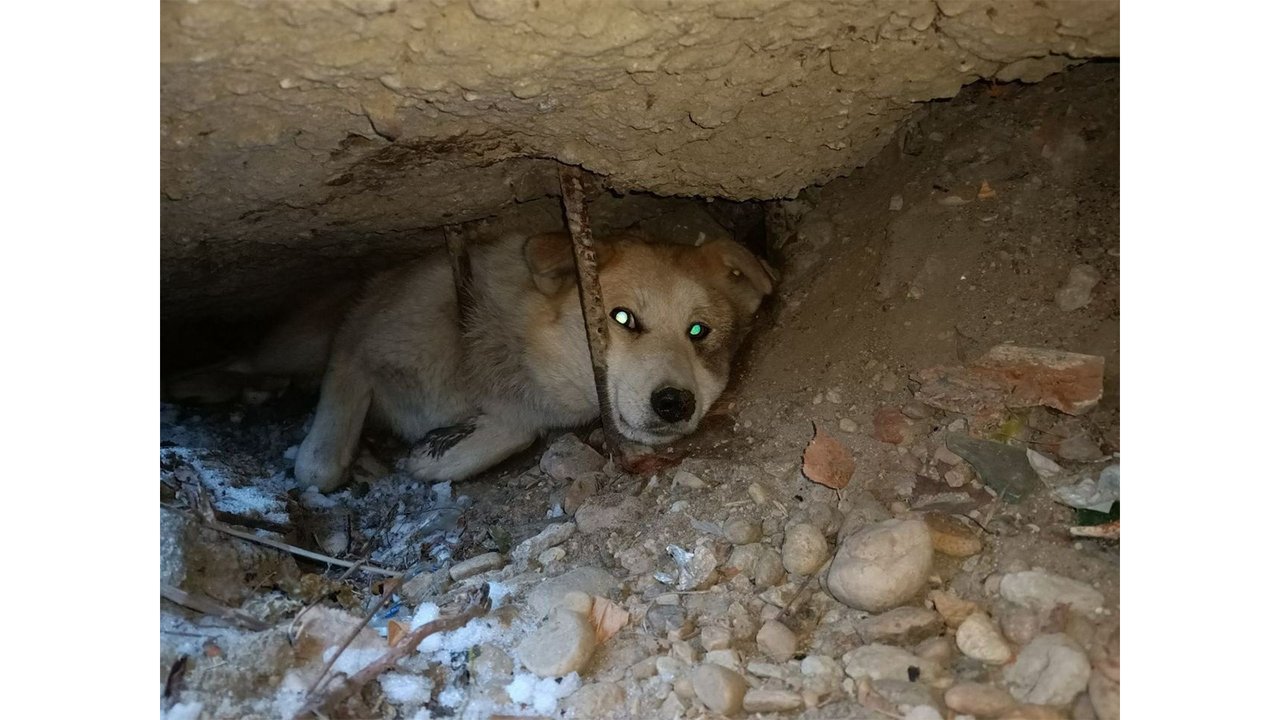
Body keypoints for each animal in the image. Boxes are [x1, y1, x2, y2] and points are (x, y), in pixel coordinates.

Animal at [170, 229, 768, 486]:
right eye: (621, 319)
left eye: (700, 332)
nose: (674, 404)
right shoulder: (353, 350)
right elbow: (319, 466)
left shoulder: (522, 416)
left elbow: (505, 437)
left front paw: (431, 456)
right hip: (301, 342)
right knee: (246, 360)